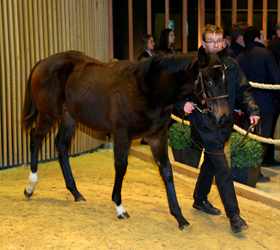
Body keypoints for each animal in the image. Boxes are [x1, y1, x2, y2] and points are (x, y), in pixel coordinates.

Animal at [21, 47, 230, 230]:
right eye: (209, 82)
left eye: (224, 78)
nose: (224, 118)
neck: (146, 89)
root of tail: (43, 62)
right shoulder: (123, 134)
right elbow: (121, 167)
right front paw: (120, 208)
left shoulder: (157, 135)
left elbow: (166, 171)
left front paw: (179, 217)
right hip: (49, 115)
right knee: (35, 139)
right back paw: (30, 187)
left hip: (69, 118)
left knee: (61, 146)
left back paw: (75, 192)